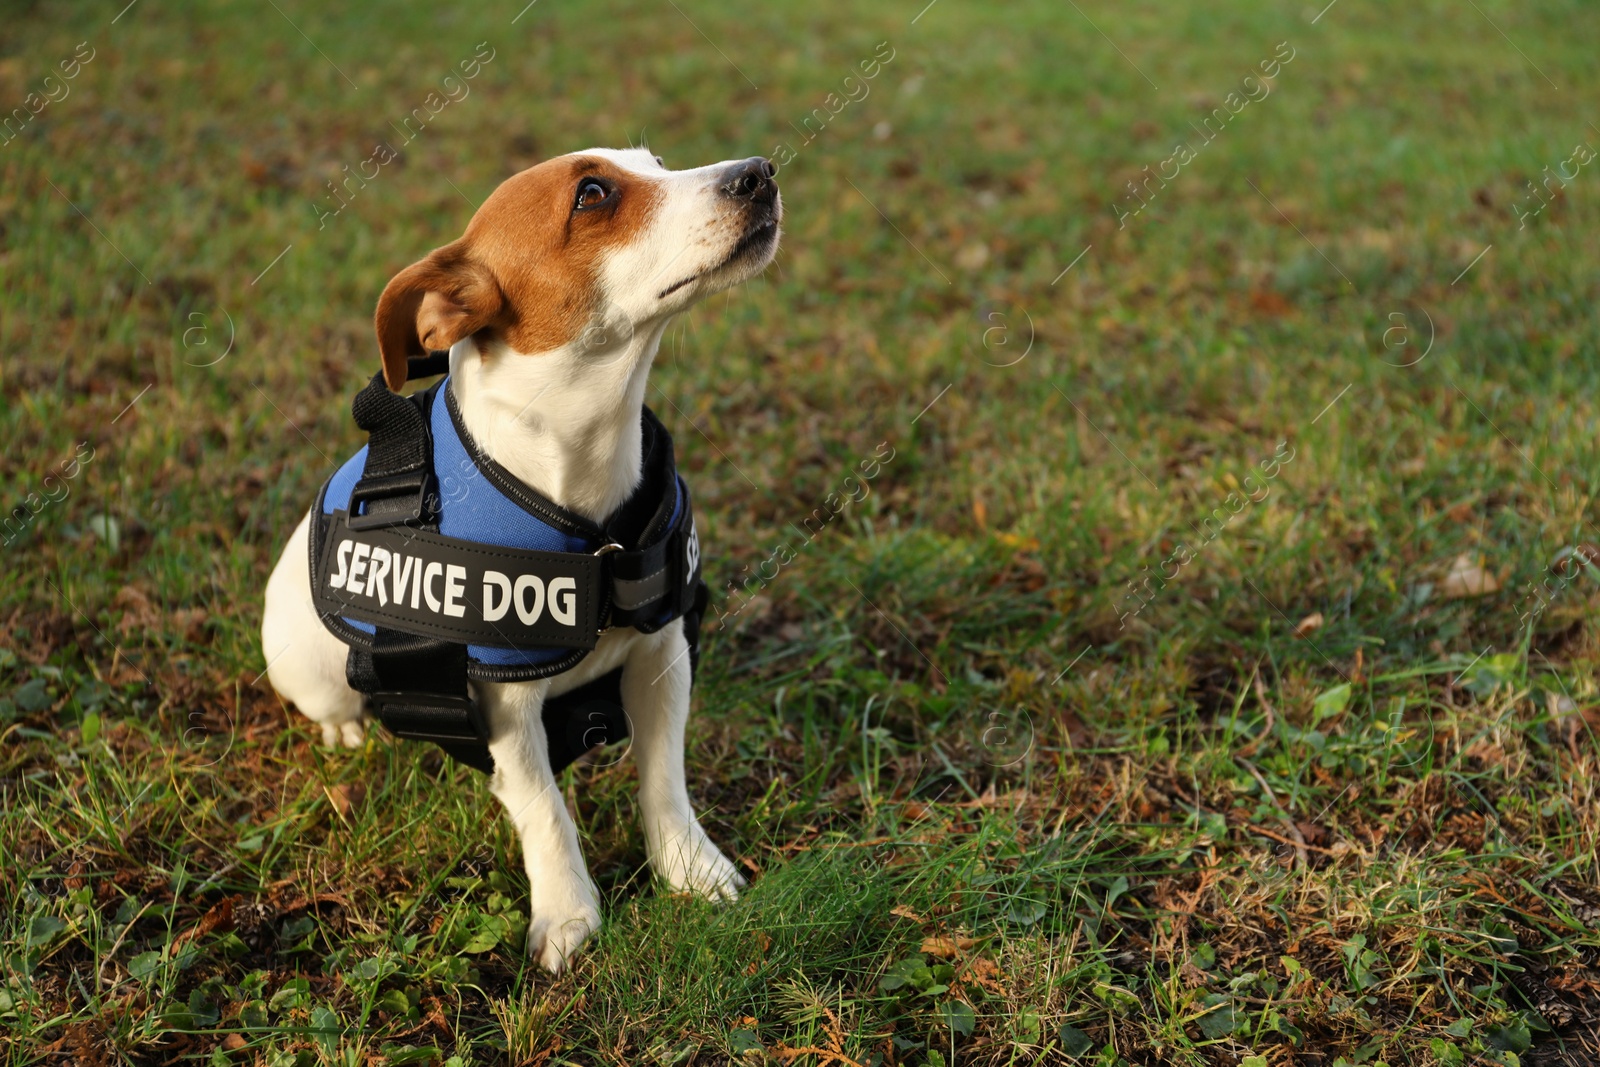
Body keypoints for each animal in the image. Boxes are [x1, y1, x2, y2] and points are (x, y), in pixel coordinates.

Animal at [262, 150, 780, 979]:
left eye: (657, 163)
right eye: (592, 193)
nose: (758, 171)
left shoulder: (661, 656)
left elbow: (664, 778)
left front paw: (689, 868)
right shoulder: (504, 707)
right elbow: (545, 810)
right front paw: (568, 912)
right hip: (306, 667)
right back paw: (345, 729)